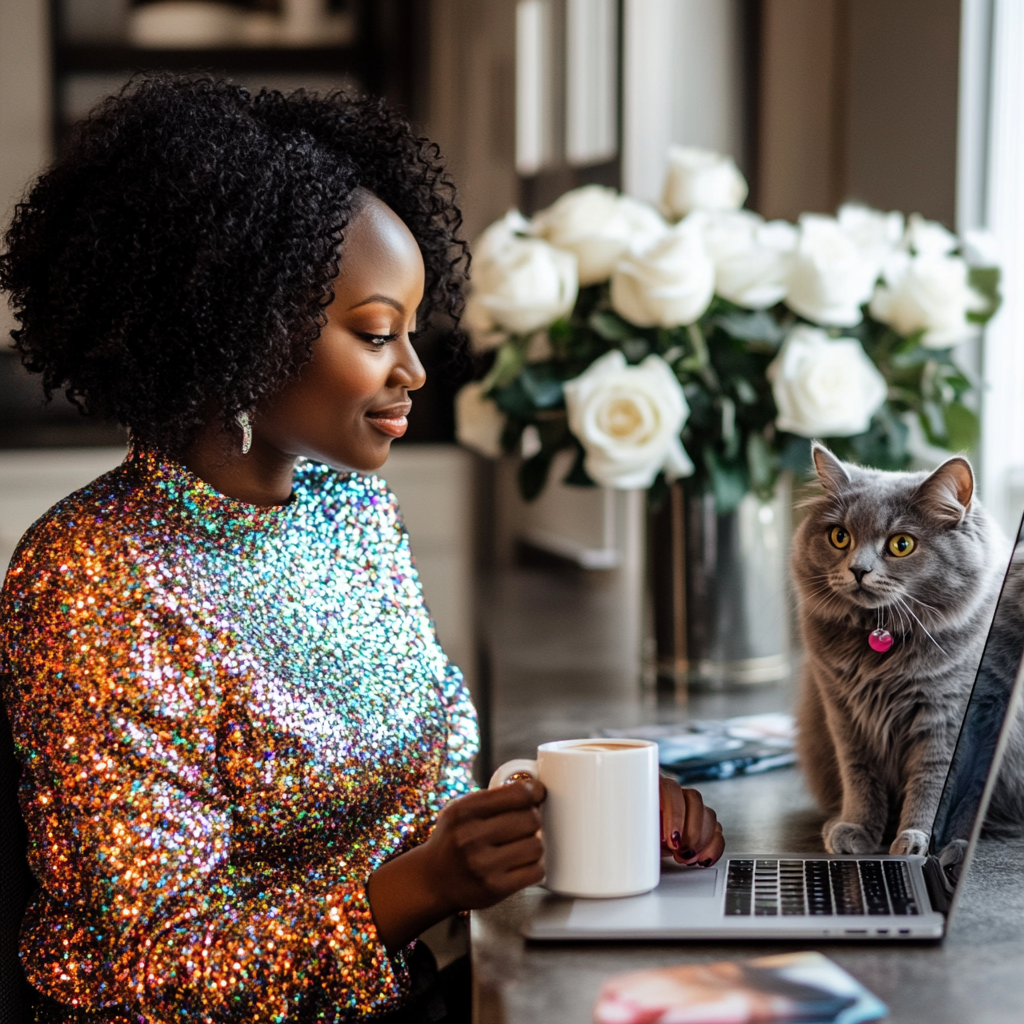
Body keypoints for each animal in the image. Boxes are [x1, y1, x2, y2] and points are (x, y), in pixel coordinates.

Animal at [794, 444, 1019, 851]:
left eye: (901, 544)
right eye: (840, 537)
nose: (858, 570)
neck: (882, 638)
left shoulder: (948, 718)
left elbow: (933, 783)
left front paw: (916, 841)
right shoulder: (843, 713)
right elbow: (859, 776)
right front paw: (855, 829)